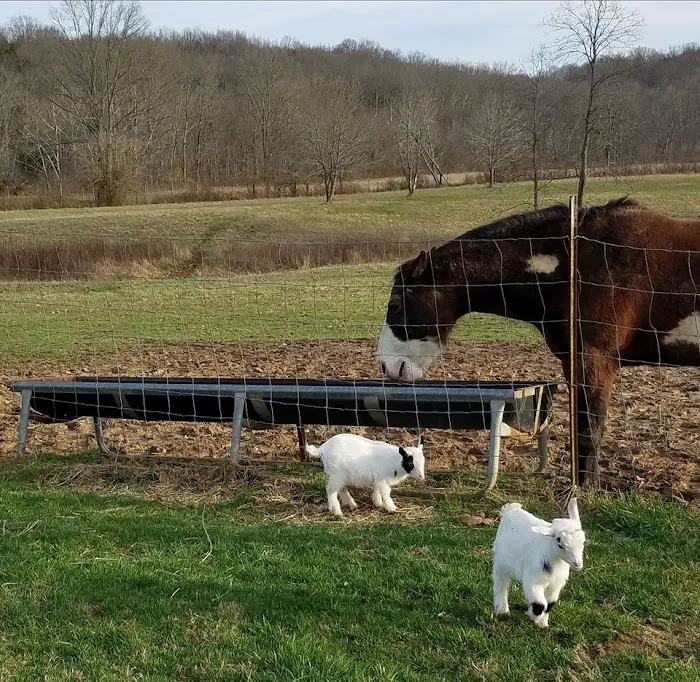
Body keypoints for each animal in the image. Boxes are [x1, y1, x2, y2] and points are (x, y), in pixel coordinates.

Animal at [492, 498, 586, 628]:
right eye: (559, 543)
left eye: (583, 542)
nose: (577, 564)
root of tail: (510, 510)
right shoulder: (533, 581)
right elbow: (540, 604)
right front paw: (533, 616)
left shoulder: (556, 584)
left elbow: (550, 604)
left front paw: (542, 623)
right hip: (501, 562)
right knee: (501, 583)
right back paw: (502, 610)